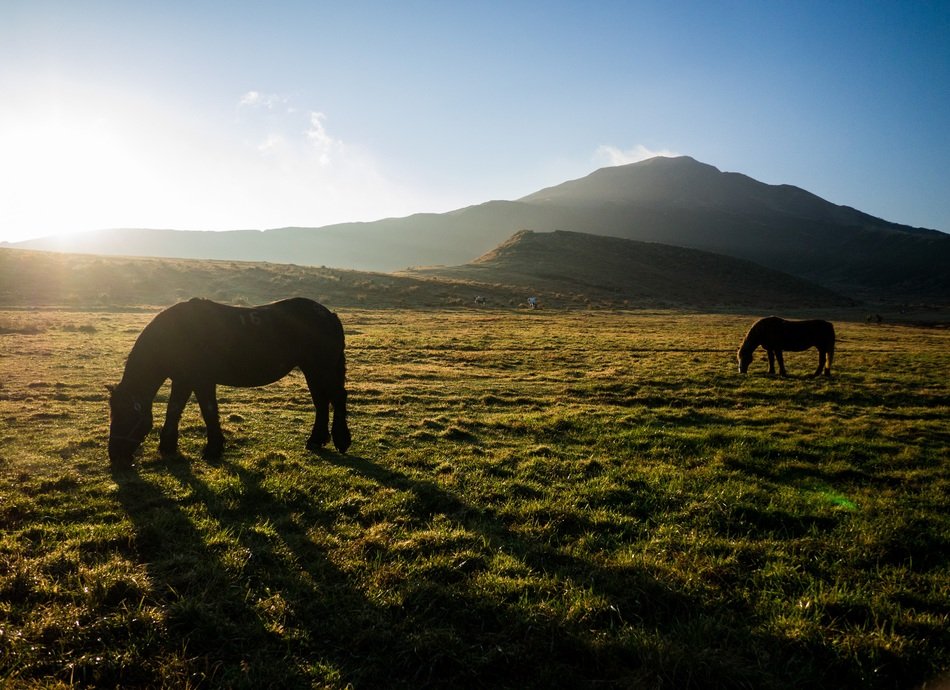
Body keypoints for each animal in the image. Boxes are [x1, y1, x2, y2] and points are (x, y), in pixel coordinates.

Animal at [108, 297, 351, 465]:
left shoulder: (202, 381)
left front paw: (213, 449)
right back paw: (316, 440)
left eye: (125, 416)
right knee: (321, 402)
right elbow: (174, 410)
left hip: (320, 370)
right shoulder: (183, 379)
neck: (177, 334)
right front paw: (168, 446)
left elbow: (208, 411)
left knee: (337, 398)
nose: (115, 456)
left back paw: (341, 440)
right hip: (314, 371)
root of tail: (329, 315)